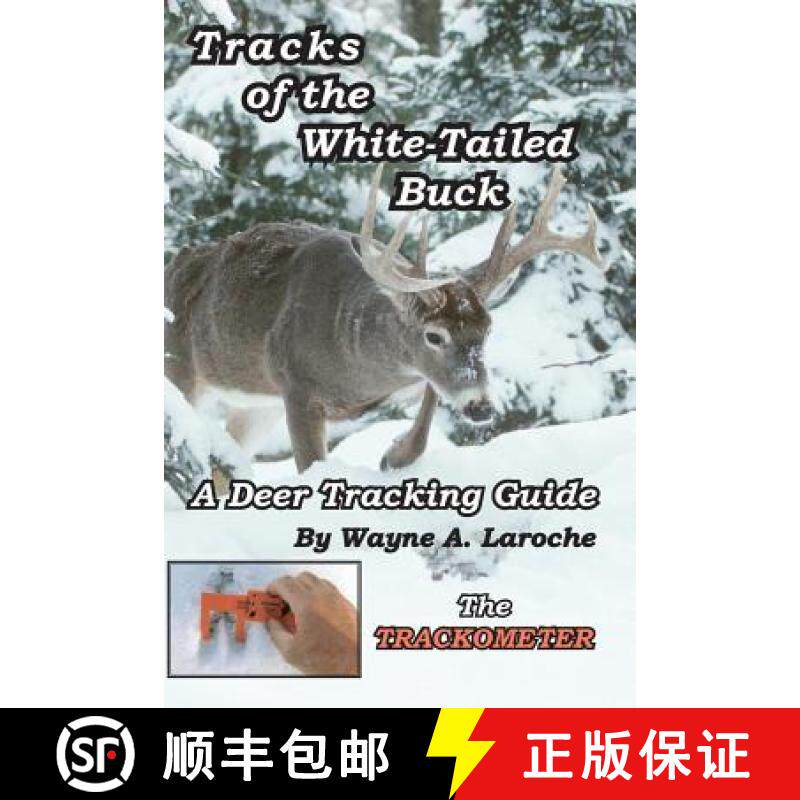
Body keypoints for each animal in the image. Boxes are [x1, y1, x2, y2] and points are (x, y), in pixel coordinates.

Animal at [165, 164, 603, 473]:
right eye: (434, 335)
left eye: (488, 329)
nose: (481, 407)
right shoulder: (297, 386)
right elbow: (312, 466)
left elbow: (430, 399)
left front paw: (394, 455)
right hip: (182, 370)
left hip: (257, 405)